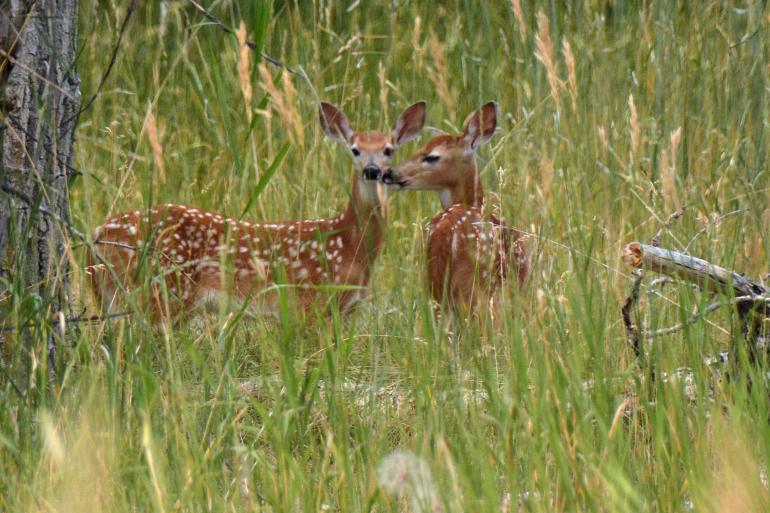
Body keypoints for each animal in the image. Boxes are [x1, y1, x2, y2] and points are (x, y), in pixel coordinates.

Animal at [87, 101, 427, 321]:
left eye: (388, 150)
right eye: (355, 150)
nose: (372, 170)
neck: (349, 244)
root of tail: (99, 232)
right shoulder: (310, 301)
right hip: (161, 290)